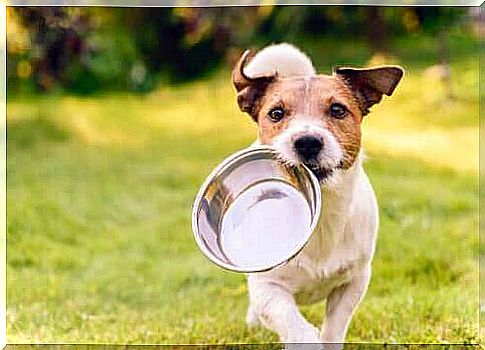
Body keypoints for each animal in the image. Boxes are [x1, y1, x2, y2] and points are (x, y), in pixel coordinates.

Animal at [230, 43, 400, 344]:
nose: (307, 142)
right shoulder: (268, 289)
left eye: (337, 109)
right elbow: (295, 327)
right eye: (276, 113)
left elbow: (333, 328)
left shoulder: (354, 282)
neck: (322, 217)